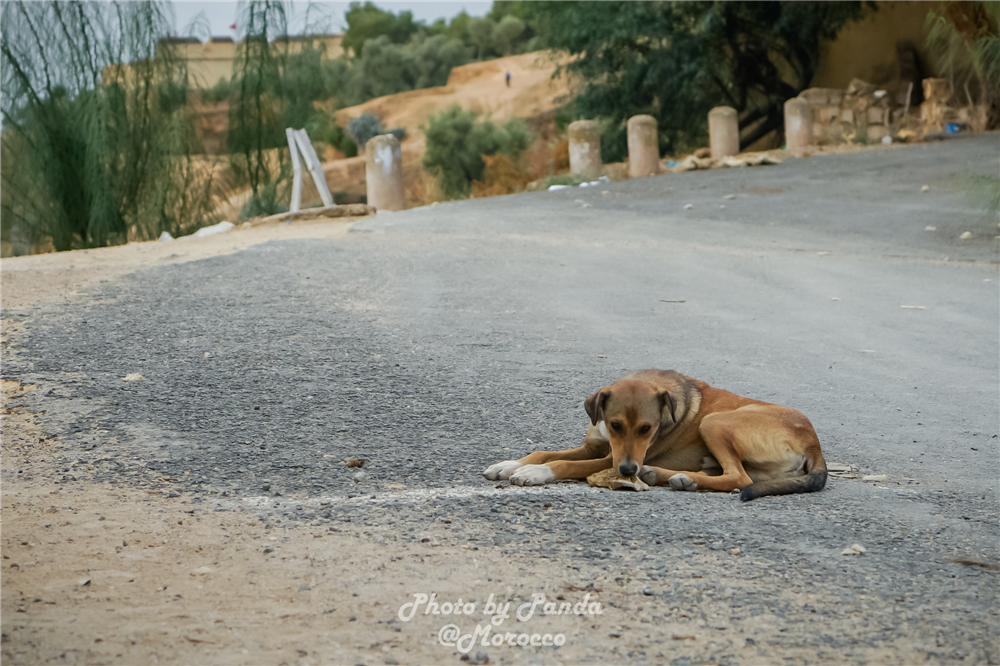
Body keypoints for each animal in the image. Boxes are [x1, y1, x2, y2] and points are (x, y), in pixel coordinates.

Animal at [484, 366, 828, 500]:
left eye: (647, 429)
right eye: (615, 425)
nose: (627, 471)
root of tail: (815, 444)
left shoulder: (609, 459)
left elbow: (564, 463)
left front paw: (535, 473)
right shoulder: (598, 447)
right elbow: (545, 451)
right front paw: (509, 465)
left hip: (714, 421)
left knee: (739, 477)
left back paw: (665, 475)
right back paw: (676, 478)